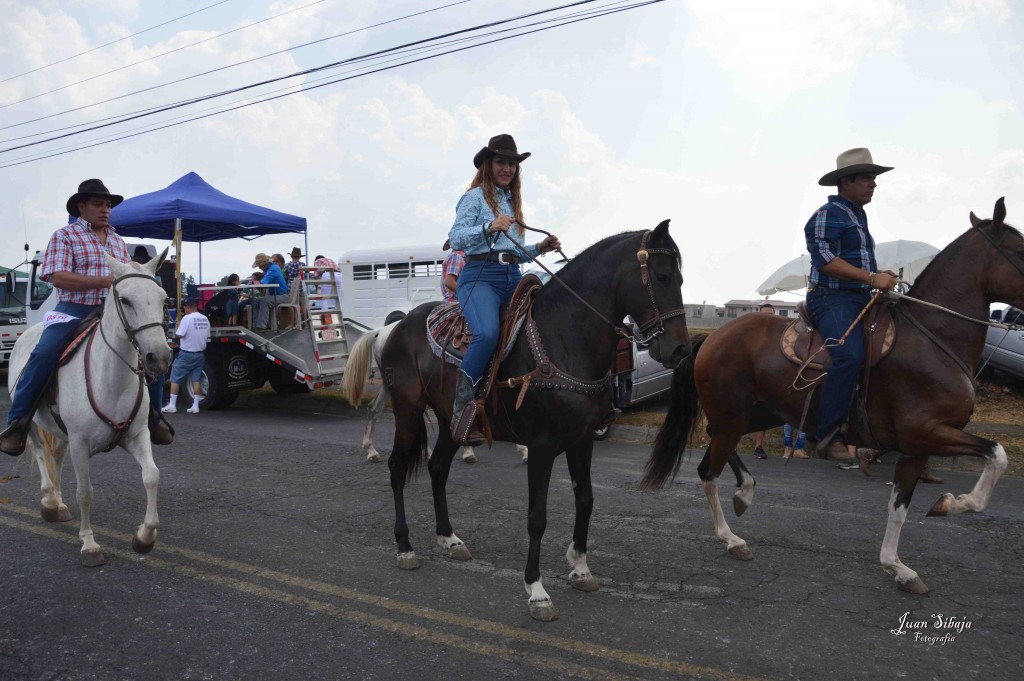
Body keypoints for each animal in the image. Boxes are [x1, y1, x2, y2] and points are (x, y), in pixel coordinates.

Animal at [7, 251, 172, 565]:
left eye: (163, 298)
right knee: (38, 450)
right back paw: (50, 500)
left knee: (56, 456)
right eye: (125, 300)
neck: (110, 378)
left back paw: (59, 504)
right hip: (31, 421)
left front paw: (144, 537)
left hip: (61, 433)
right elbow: (85, 492)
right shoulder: (80, 444)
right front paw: (90, 544)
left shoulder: (137, 435)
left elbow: (152, 476)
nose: (159, 357)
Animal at [638, 199, 1024, 593]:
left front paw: (897, 566)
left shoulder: (916, 447)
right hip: (733, 415)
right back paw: (731, 538)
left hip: (757, 413)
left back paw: (745, 491)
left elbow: (899, 506)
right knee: (708, 470)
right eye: (1020, 250)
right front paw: (953, 504)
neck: (931, 338)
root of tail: (711, 339)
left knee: (716, 440)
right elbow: (997, 455)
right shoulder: (925, 432)